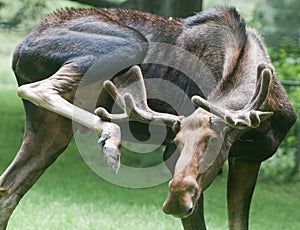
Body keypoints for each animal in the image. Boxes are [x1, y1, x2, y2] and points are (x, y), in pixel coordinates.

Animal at [0, 6, 296, 229]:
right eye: (174, 144)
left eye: (215, 144)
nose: (176, 199)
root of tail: (21, 46)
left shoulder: (250, 159)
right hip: (130, 43)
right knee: (35, 89)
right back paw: (110, 137)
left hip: (50, 129)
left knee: (8, 189)